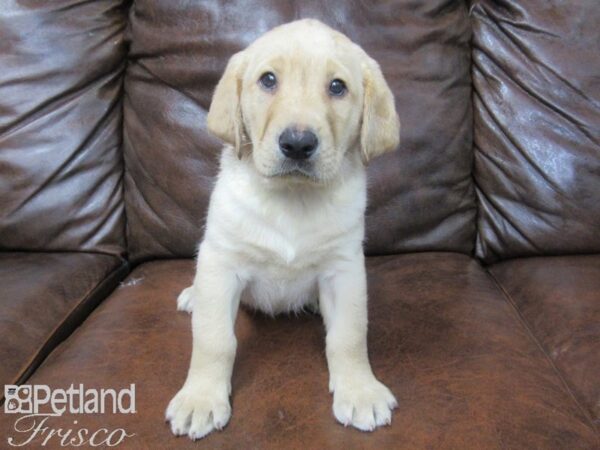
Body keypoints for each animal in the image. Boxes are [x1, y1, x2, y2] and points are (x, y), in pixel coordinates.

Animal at [165, 18, 398, 440]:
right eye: (268, 80)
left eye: (337, 87)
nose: (298, 144)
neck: (293, 199)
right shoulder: (222, 263)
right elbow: (213, 339)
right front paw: (201, 398)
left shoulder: (344, 270)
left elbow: (349, 336)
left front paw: (359, 390)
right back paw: (193, 295)